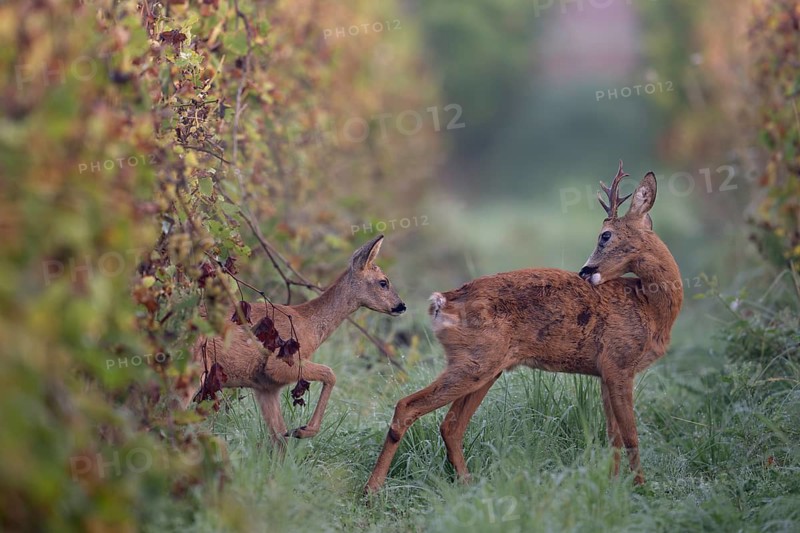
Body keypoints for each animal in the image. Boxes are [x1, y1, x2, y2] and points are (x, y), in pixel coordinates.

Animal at [189, 234, 406, 444]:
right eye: (383, 282)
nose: (401, 306)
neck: (309, 324)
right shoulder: (279, 364)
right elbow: (330, 373)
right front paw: (303, 430)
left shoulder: (265, 387)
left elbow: (278, 438)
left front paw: (293, 436)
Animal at [364, 162, 683, 493]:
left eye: (605, 236)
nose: (585, 271)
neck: (650, 307)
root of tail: (441, 301)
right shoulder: (619, 363)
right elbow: (631, 435)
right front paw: (642, 489)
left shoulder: (606, 372)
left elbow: (614, 436)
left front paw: (613, 484)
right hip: (475, 362)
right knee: (407, 407)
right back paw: (371, 490)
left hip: (485, 367)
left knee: (450, 425)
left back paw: (467, 483)